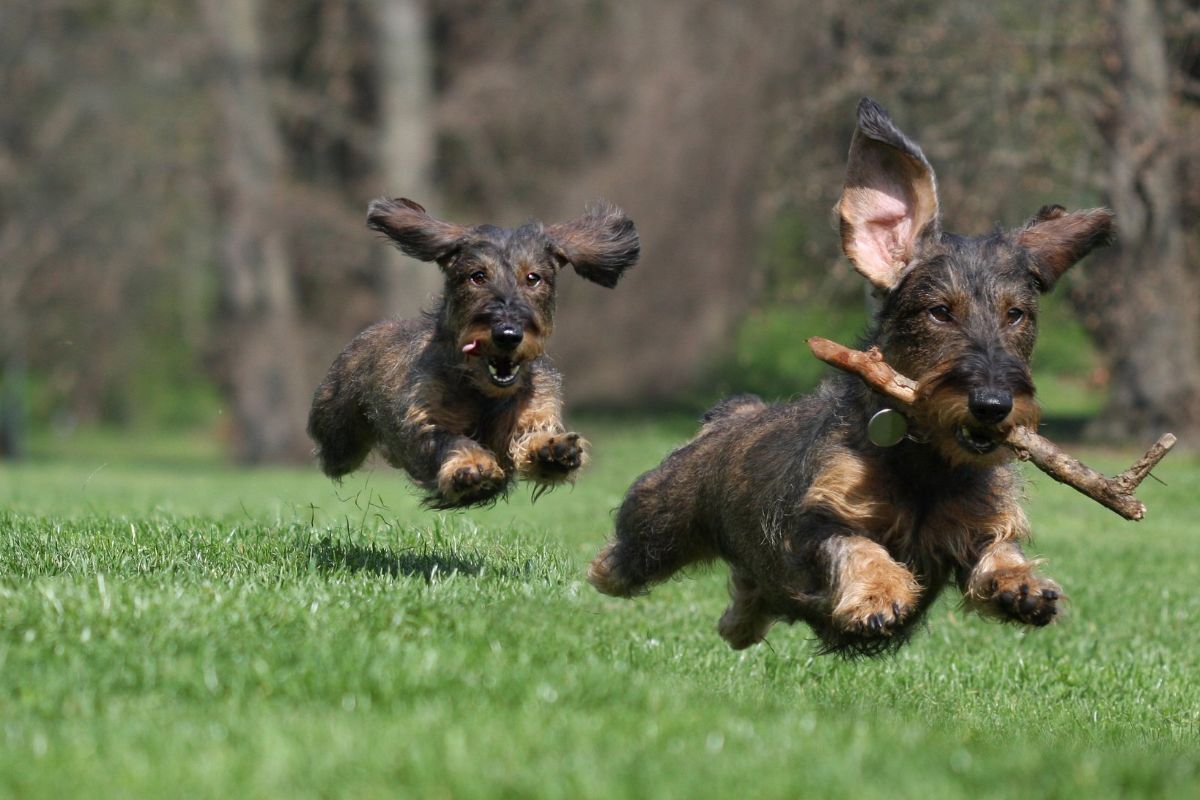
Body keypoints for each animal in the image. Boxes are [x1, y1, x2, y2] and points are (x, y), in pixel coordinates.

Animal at [309, 200, 643, 510]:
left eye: (533, 278)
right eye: (477, 276)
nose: (507, 335)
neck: (485, 393)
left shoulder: (534, 408)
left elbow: (532, 434)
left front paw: (553, 451)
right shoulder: (427, 421)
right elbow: (451, 440)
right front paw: (470, 467)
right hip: (339, 438)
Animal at [590, 97, 1113, 652]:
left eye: (1016, 315)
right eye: (939, 312)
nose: (993, 405)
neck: (925, 465)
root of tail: (732, 415)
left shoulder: (977, 527)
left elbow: (998, 552)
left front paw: (1023, 586)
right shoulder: (818, 522)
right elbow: (856, 546)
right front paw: (880, 593)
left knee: (746, 598)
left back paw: (740, 621)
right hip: (654, 528)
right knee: (617, 563)